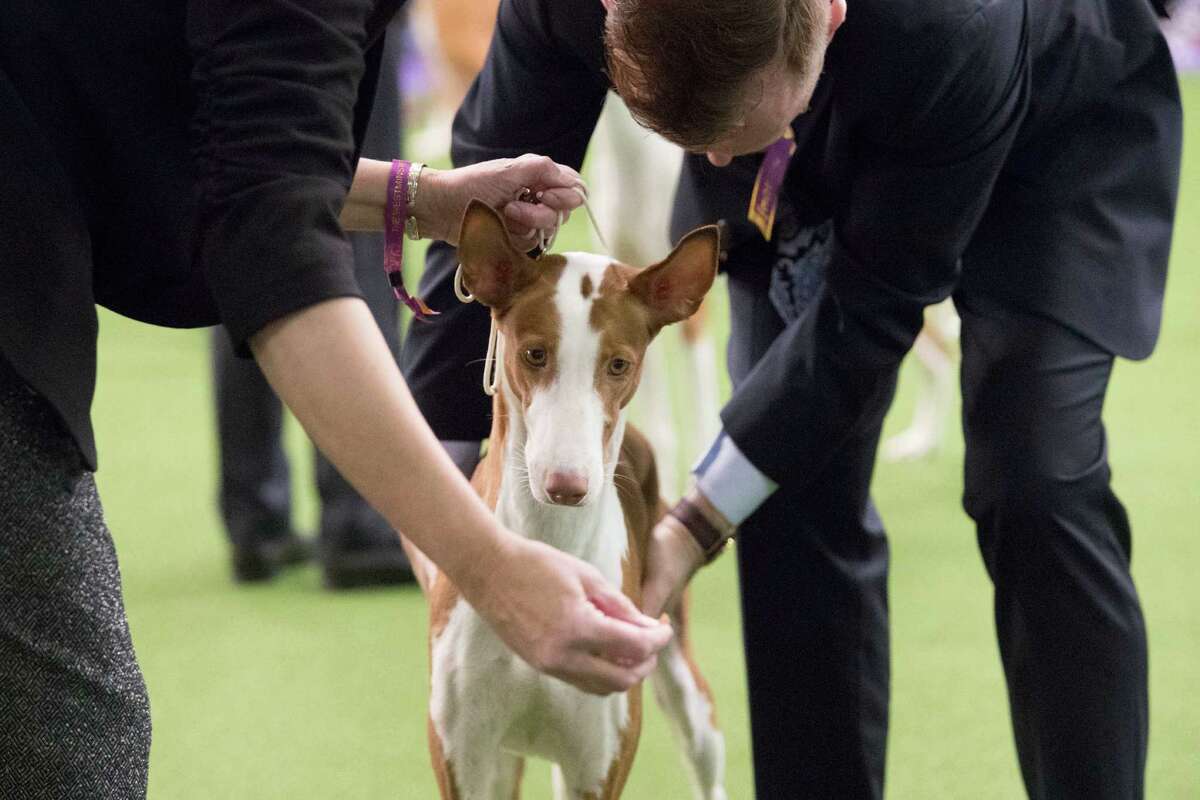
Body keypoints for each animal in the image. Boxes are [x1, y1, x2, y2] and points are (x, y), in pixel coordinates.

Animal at [417, 203, 724, 796]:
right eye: (534, 353)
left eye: (619, 364)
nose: (566, 485)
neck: (548, 552)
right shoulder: (461, 754)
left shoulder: (596, 763)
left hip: (680, 679)